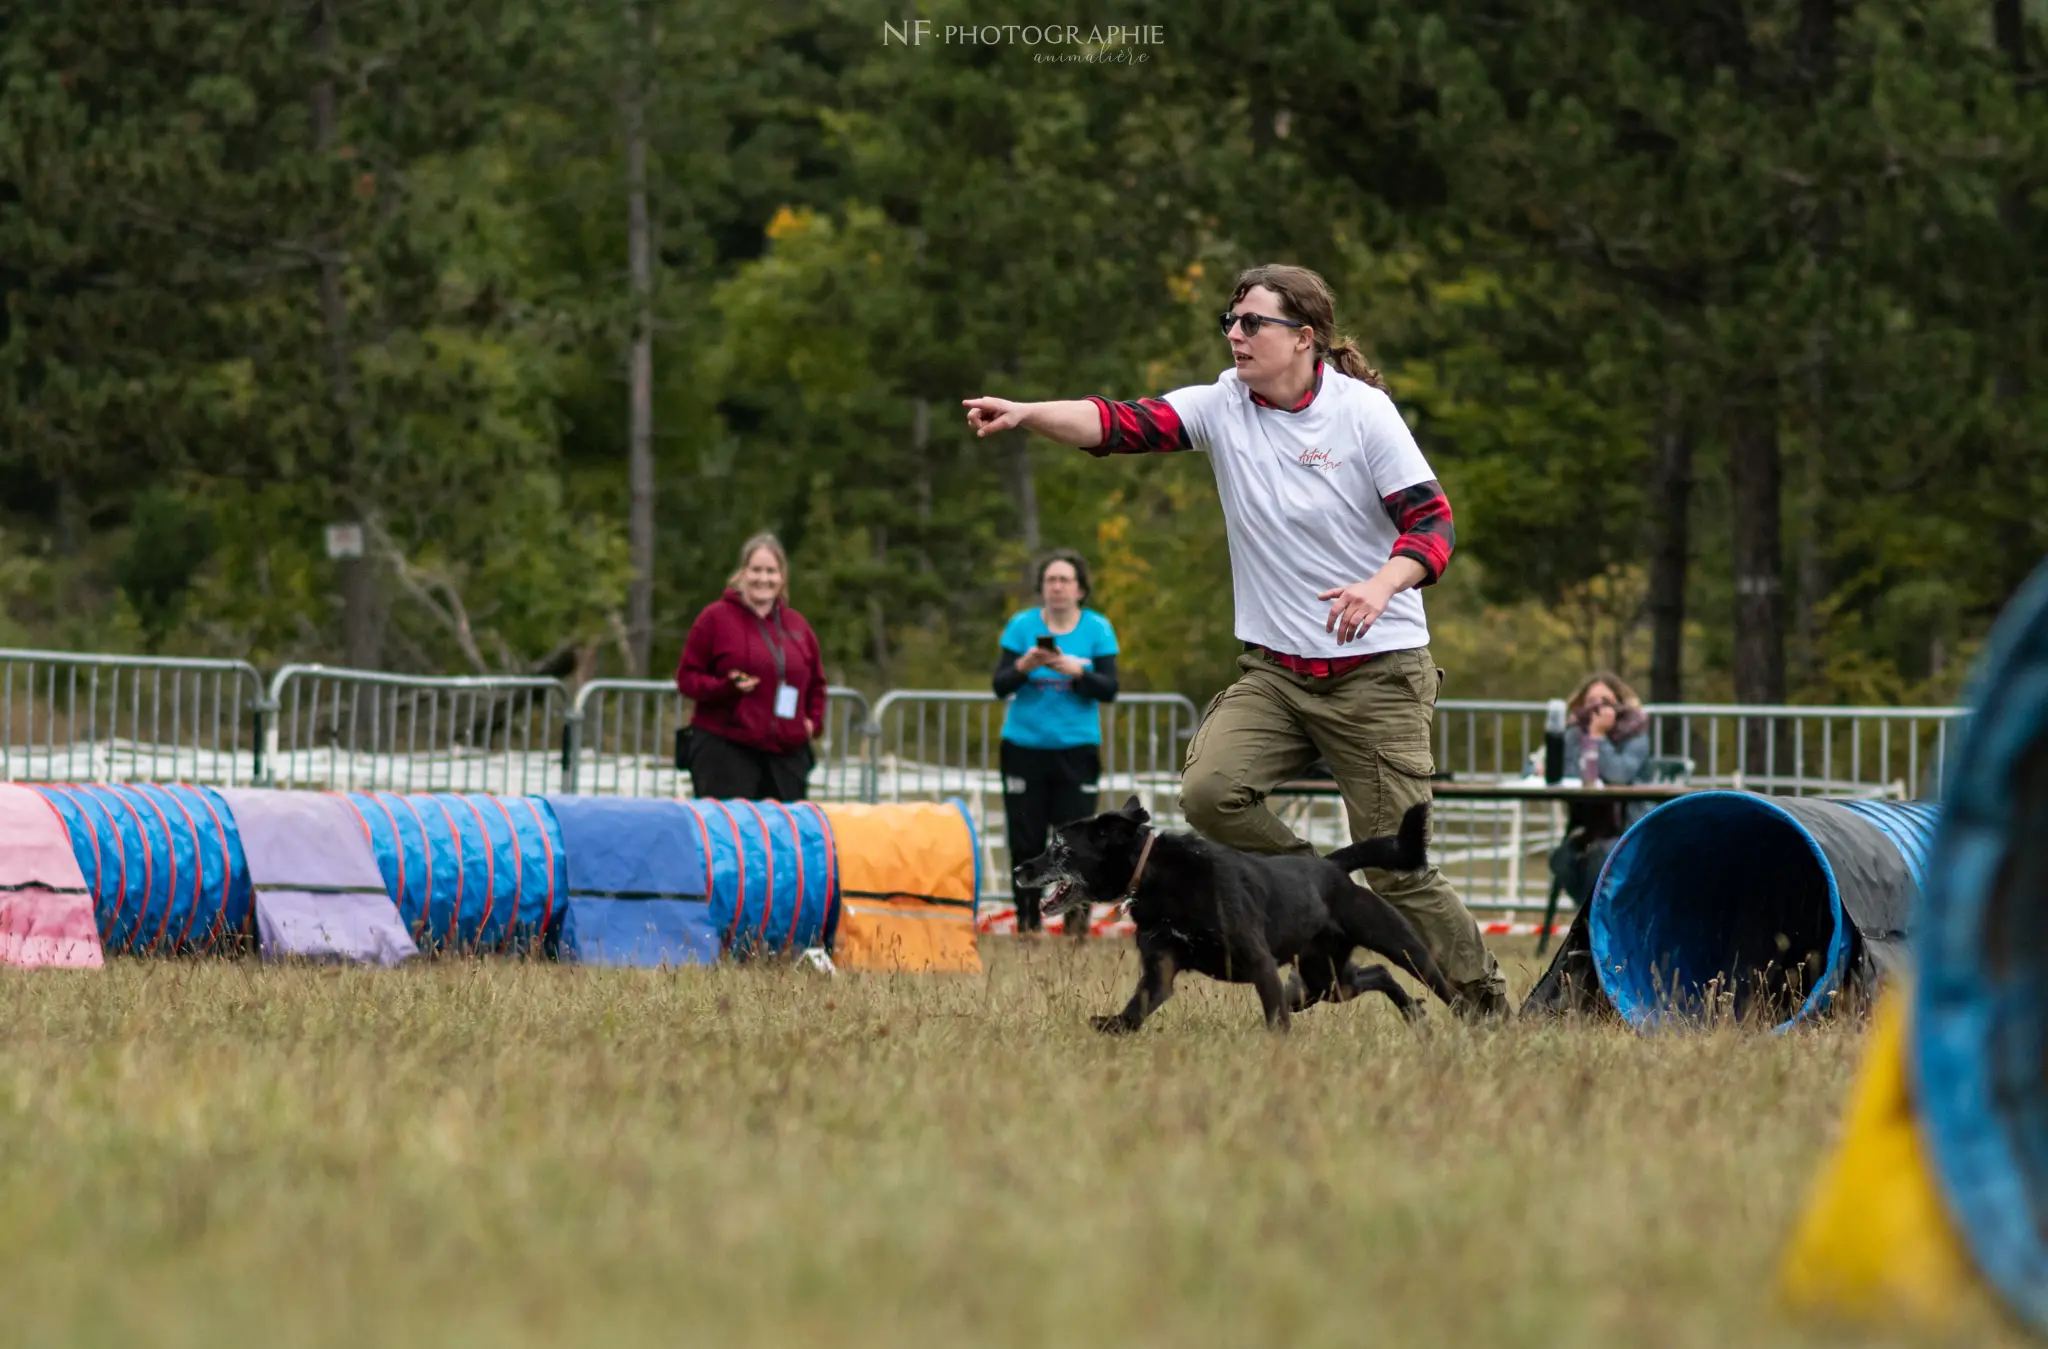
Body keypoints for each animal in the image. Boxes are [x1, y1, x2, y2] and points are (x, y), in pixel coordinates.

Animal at [1015, 802, 1466, 1035]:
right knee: (1375, 975)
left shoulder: (1259, 963)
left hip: (1400, 946)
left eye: (1060, 848)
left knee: (1437, 982)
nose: (1019, 868)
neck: (1158, 876)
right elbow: (1135, 1008)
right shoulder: (1160, 969)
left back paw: (1469, 1019)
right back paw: (1415, 1015)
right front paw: (1110, 1026)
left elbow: (1276, 1021)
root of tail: (1332, 866)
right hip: (1325, 979)